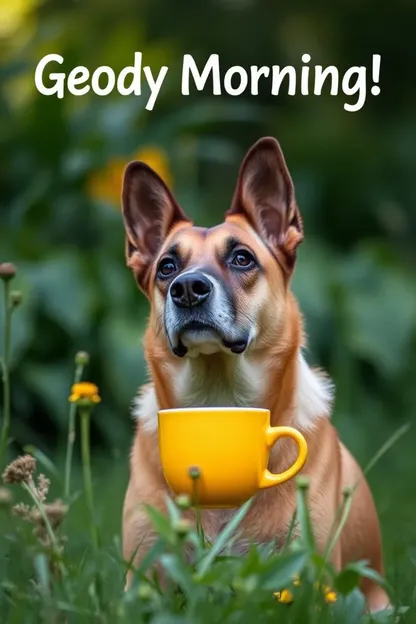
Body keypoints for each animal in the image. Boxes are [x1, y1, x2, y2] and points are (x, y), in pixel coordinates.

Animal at [120, 138, 390, 616]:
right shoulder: (141, 580)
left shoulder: (307, 582)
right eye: (167, 267)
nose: (187, 289)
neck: (217, 401)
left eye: (242, 257)